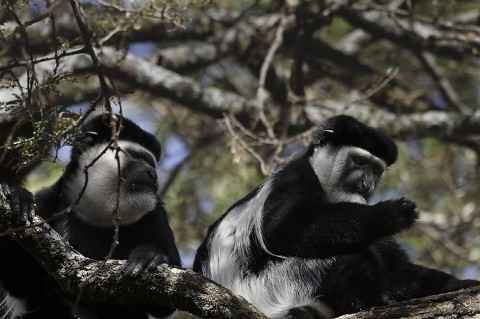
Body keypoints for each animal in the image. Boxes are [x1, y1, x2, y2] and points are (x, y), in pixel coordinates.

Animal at [0, 115, 180, 319]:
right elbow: (19, 282)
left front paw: (151, 257)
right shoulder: (47, 202)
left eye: (151, 163)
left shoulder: (156, 214)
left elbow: (163, 307)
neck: (99, 211)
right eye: (136, 156)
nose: (153, 173)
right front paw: (19, 198)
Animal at [193, 115, 478, 319]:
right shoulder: (295, 178)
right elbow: (283, 231)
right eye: (359, 162)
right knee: (346, 255)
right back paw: (370, 302)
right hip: (275, 287)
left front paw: (461, 284)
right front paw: (389, 213)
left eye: (376, 170)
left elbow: (396, 265)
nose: (366, 185)